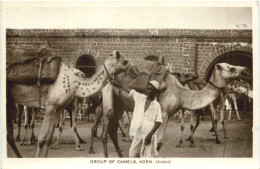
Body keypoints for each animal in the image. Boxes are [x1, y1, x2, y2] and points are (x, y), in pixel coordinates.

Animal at [96, 59, 250, 157]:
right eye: (231, 67)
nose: (246, 70)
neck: (180, 92)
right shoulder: (163, 113)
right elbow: (157, 142)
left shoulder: (169, 114)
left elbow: (159, 143)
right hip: (108, 97)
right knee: (105, 130)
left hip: (119, 105)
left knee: (112, 131)